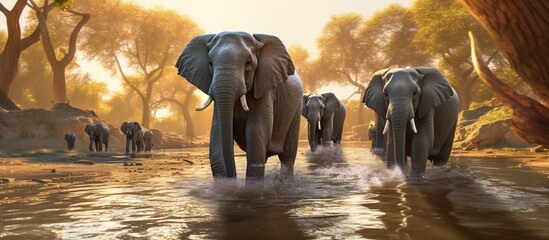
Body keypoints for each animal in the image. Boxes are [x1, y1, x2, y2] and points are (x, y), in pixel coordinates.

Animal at [176, 31, 302, 180]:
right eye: (210, 63)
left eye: (248, 63)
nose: (232, 176)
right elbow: (217, 134)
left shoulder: (265, 90)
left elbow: (256, 132)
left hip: (296, 109)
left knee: (287, 157)